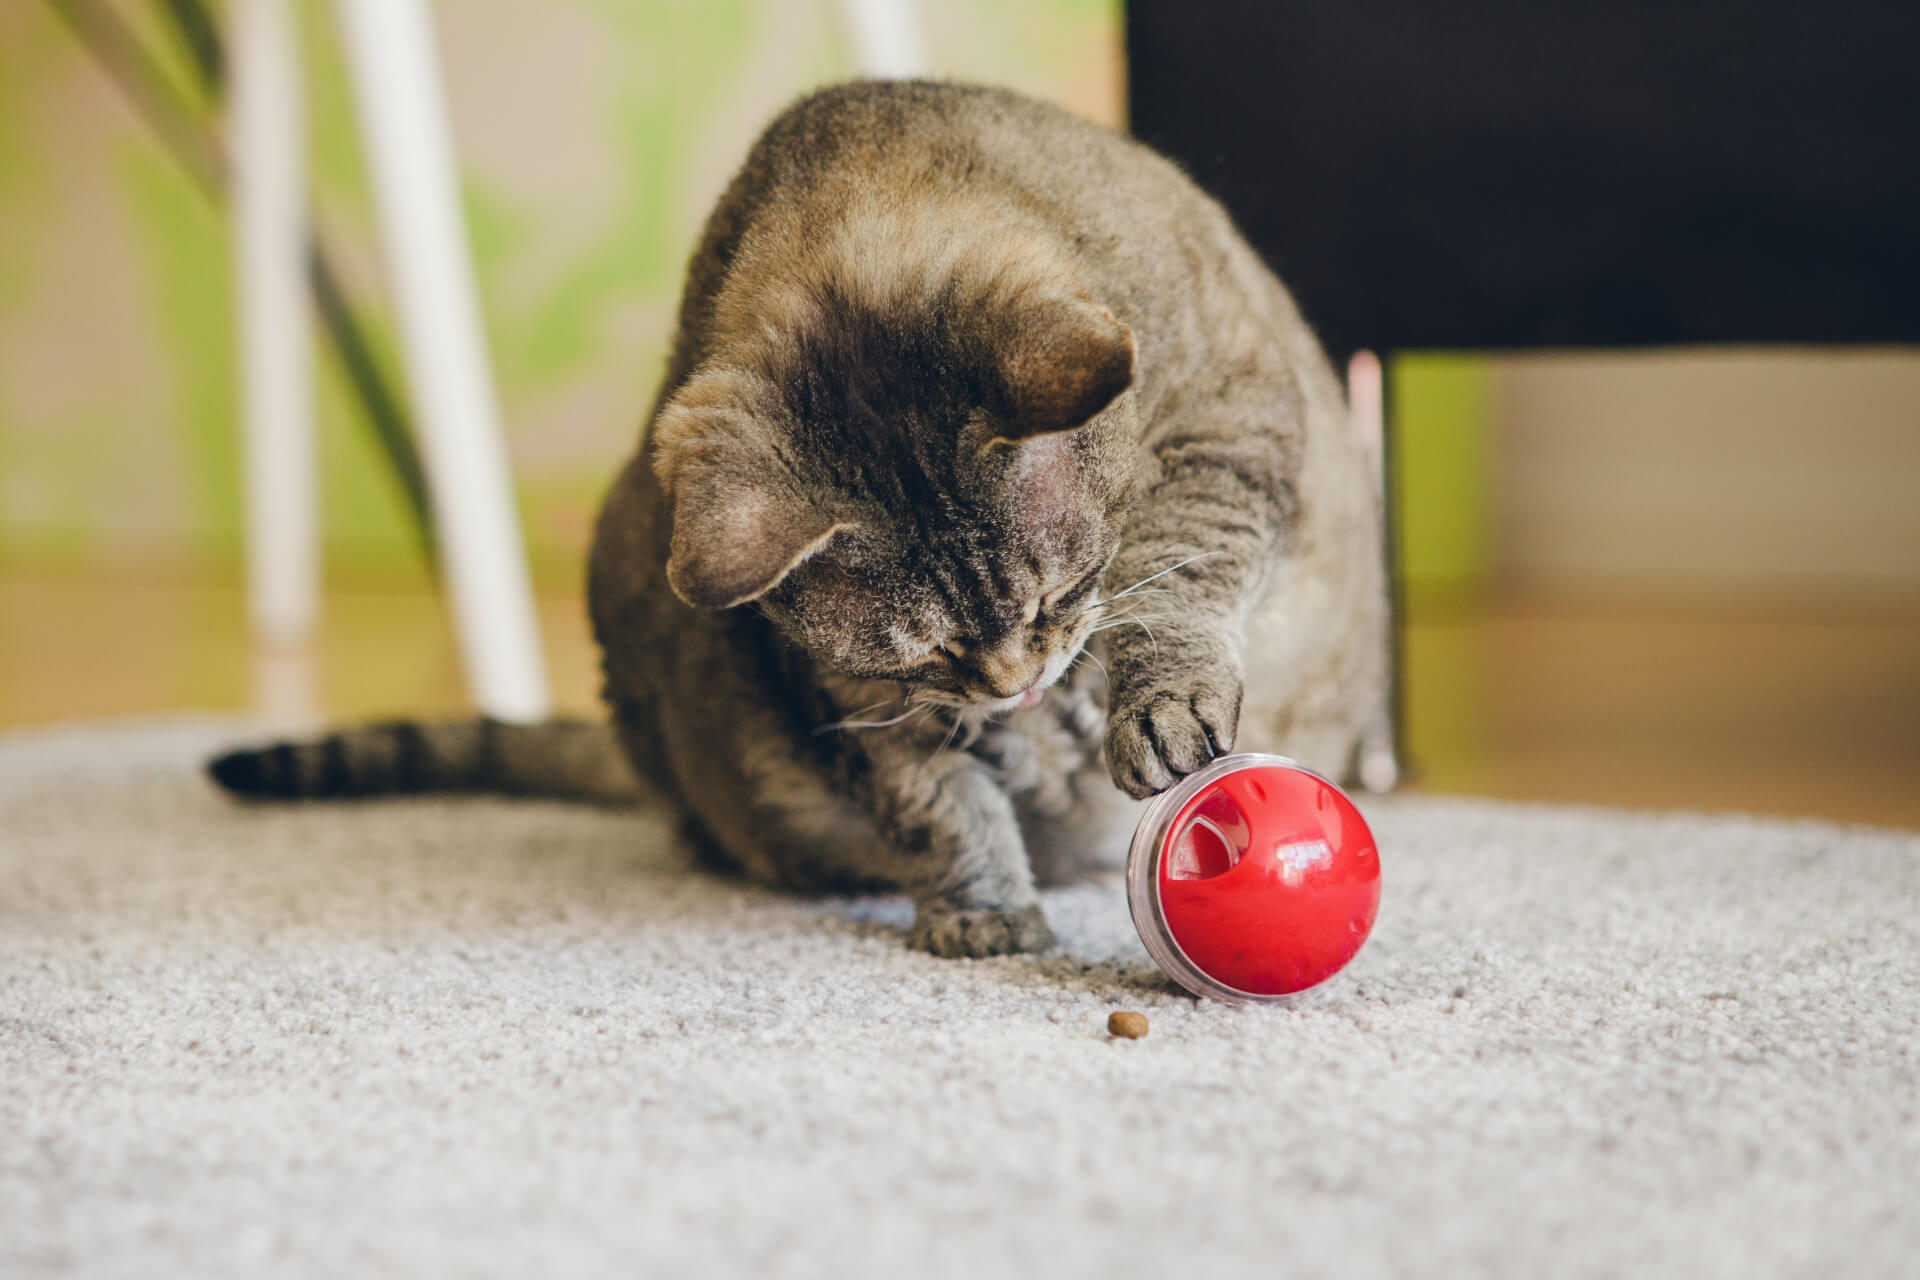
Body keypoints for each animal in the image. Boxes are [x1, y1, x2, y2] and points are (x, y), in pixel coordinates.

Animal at [210, 82, 1390, 959]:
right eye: (930, 648)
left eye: (1059, 593)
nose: (1015, 683)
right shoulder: (855, 690)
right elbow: (934, 800)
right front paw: (983, 907)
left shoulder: (1227, 430)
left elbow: (1177, 576)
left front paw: (1151, 702)